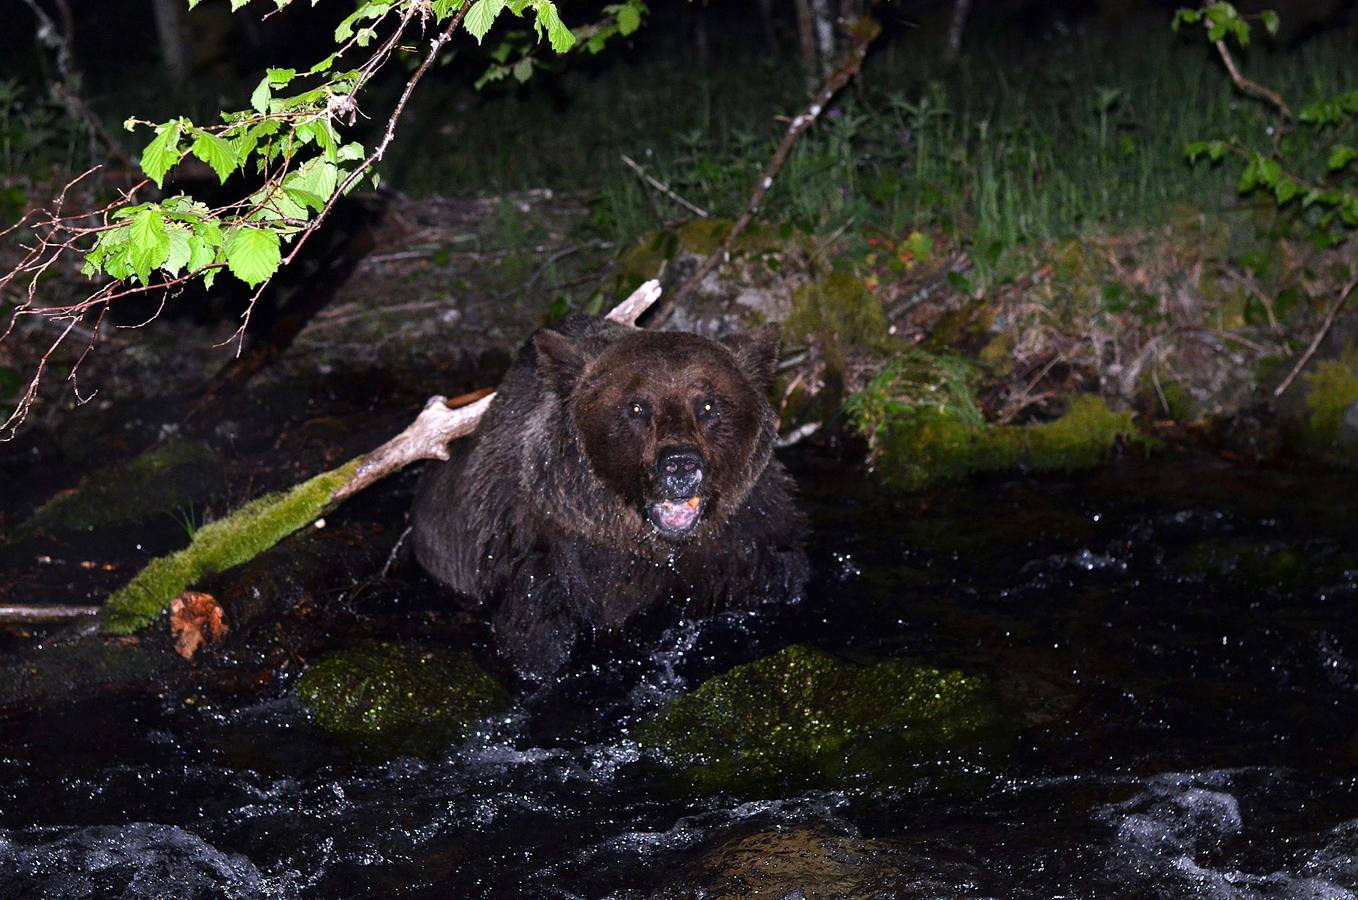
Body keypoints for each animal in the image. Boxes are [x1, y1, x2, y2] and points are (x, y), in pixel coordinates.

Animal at [410, 313, 803, 678]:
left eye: (707, 405)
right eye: (637, 407)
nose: (679, 465)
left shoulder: (749, 544)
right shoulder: (543, 562)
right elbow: (537, 642)